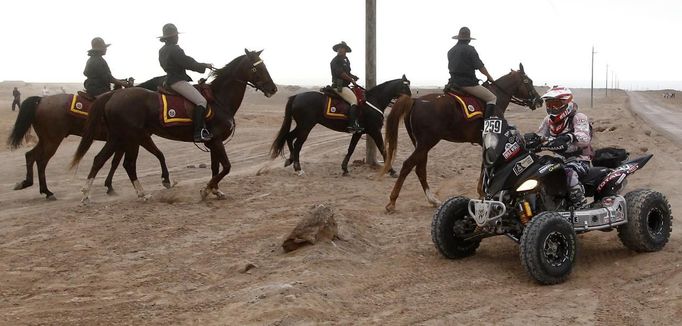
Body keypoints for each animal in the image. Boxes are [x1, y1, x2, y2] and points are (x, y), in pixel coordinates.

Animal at [71, 49, 276, 202]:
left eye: (265, 66)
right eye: (256, 69)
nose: (273, 89)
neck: (219, 100)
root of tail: (113, 95)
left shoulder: (212, 143)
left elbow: (215, 167)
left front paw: (215, 190)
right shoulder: (216, 141)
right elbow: (226, 167)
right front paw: (206, 190)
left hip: (120, 137)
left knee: (101, 159)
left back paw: (91, 193)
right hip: (130, 137)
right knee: (126, 163)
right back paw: (137, 193)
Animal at [270, 75, 410, 176]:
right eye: (405, 87)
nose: (411, 100)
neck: (373, 101)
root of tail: (296, 96)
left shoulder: (358, 132)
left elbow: (351, 149)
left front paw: (344, 169)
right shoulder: (374, 131)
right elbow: (383, 149)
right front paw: (391, 170)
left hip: (302, 126)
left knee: (289, 137)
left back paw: (290, 160)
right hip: (306, 127)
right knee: (297, 144)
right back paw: (298, 168)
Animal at [380, 63, 540, 213]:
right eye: (529, 81)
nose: (538, 100)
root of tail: (415, 101)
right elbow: (485, 166)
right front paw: (482, 192)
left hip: (420, 144)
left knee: (420, 169)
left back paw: (432, 199)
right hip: (426, 143)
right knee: (408, 165)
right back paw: (392, 201)